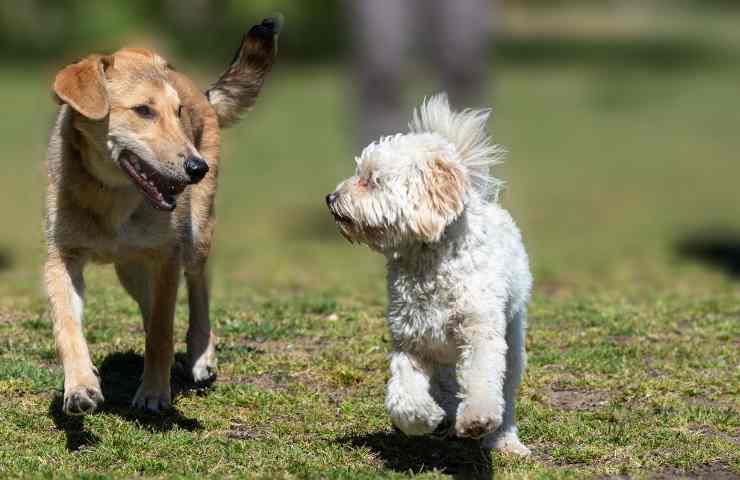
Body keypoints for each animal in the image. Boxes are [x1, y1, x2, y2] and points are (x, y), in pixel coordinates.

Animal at [44, 17, 280, 416]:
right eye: (143, 110)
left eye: (178, 111)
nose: (197, 167)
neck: (111, 196)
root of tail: (202, 92)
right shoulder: (62, 258)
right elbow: (68, 327)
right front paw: (80, 386)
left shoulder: (167, 257)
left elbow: (161, 331)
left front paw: (154, 392)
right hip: (130, 269)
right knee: (150, 305)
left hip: (196, 236)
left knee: (198, 288)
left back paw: (201, 355)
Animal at [326, 93, 528, 454]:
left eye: (372, 179)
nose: (330, 198)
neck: (429, 260)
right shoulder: (411, 340)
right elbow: (403, 397)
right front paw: (425, 418)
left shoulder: (480, 333)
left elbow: (482, 380)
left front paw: (477, 420)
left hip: (513, 338)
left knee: (504, 390)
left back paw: (504, 439)